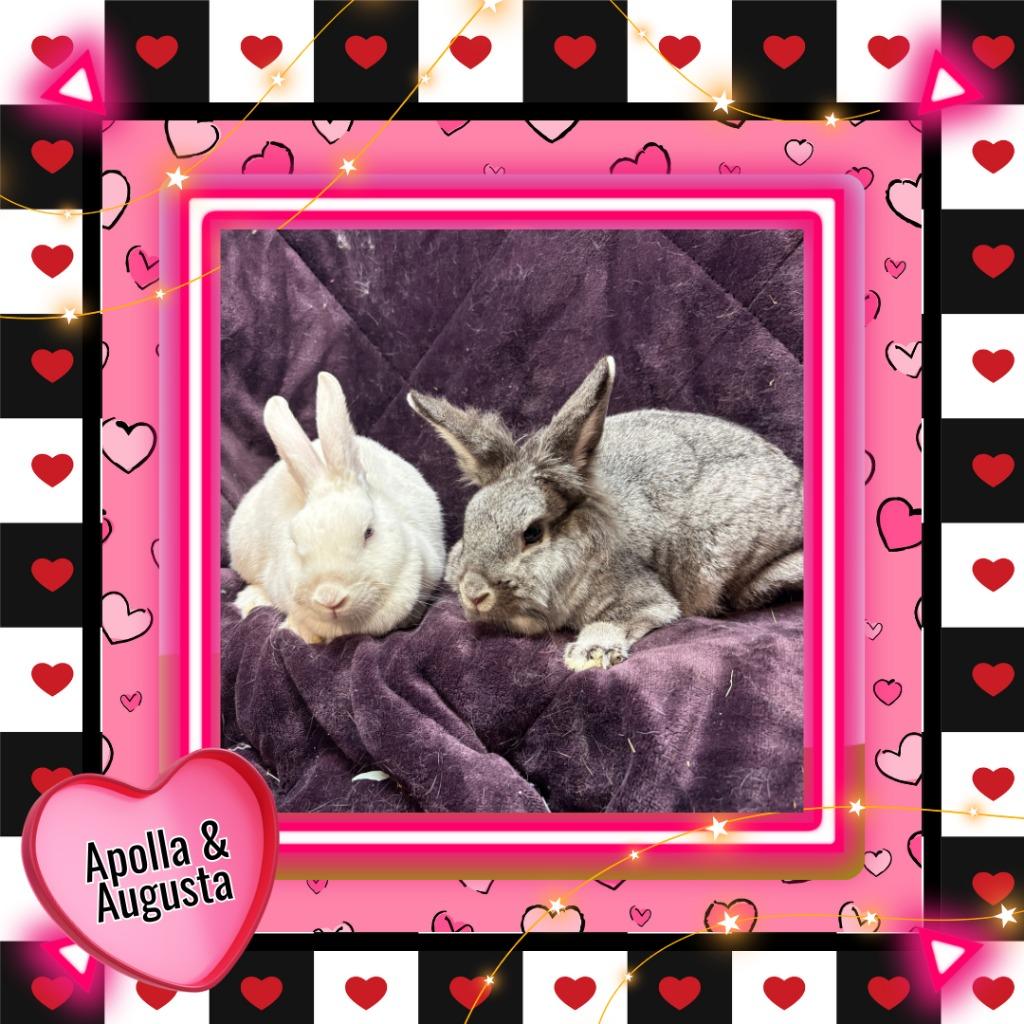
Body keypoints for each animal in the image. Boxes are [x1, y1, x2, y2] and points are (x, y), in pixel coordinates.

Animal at [408, 356, 803, 671]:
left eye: (532, 533)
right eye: (468, 525)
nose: (474, 592)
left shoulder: (642, 598)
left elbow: (619, 620)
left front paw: (588, 655)